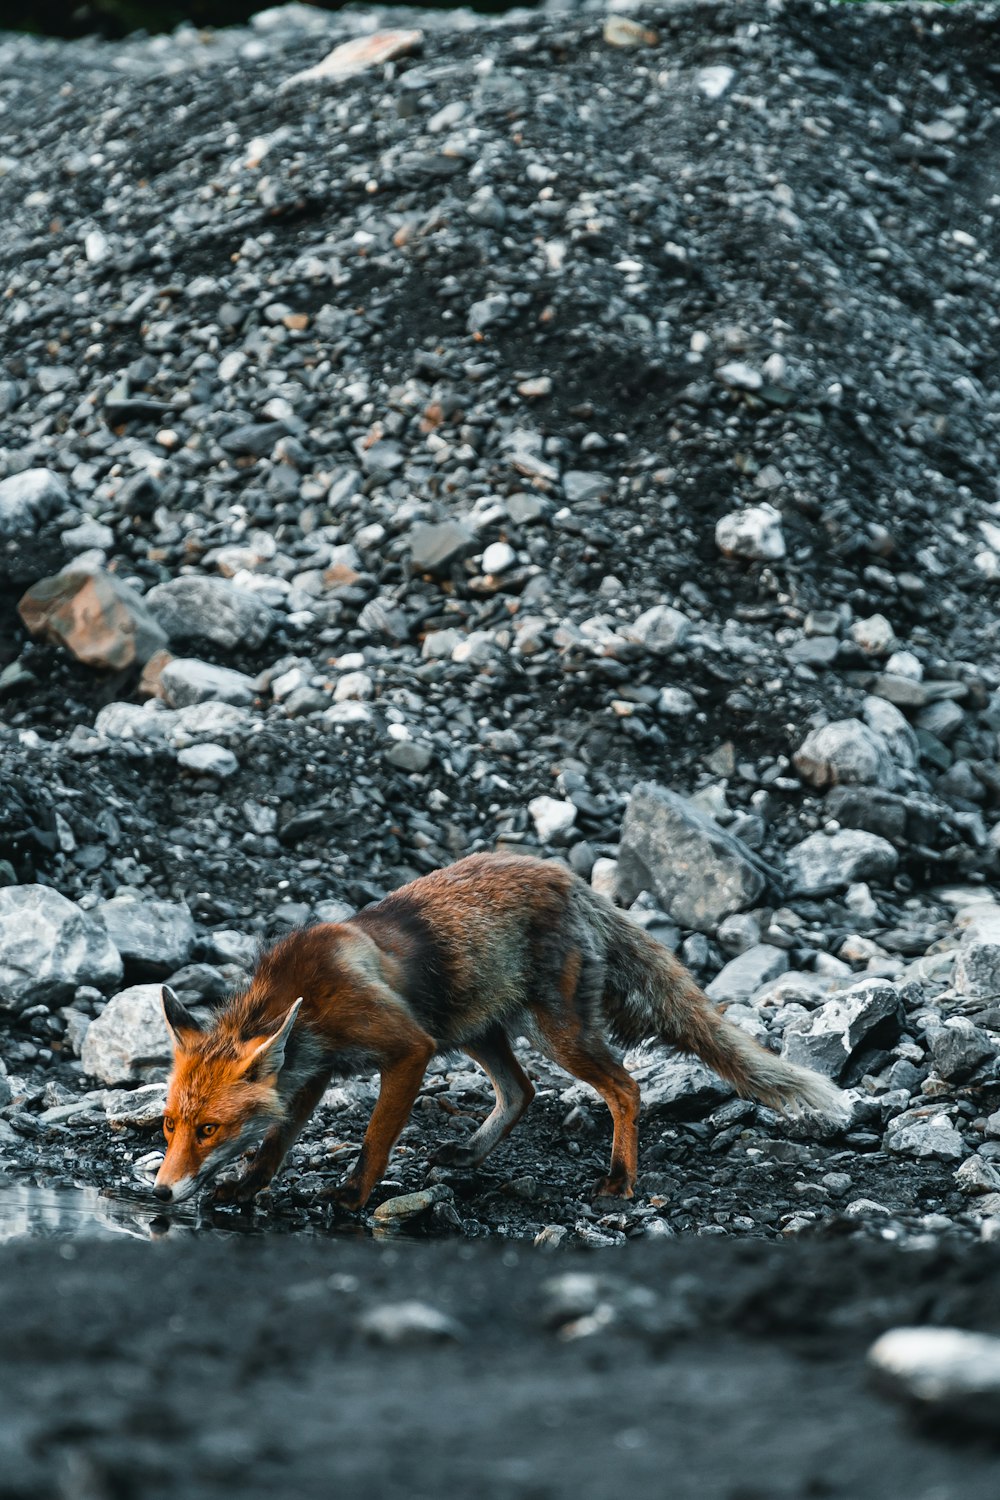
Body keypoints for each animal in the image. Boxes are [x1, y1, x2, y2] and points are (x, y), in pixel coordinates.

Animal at [152, 852, 851, 1212]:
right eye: (169, 1125)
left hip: (550, 1033)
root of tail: (569, 877)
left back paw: (620, 1181)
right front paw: (248, 1186)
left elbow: (376, 1137)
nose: (159, 1192)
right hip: (474, 1029)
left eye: (208, 1129)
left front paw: (352, 1195)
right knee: (522, 1092)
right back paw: (471, 1154)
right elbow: (275, 1142)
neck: (310, 1000)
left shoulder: (408, 1049)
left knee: (625, 1089)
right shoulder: (314, 1072)